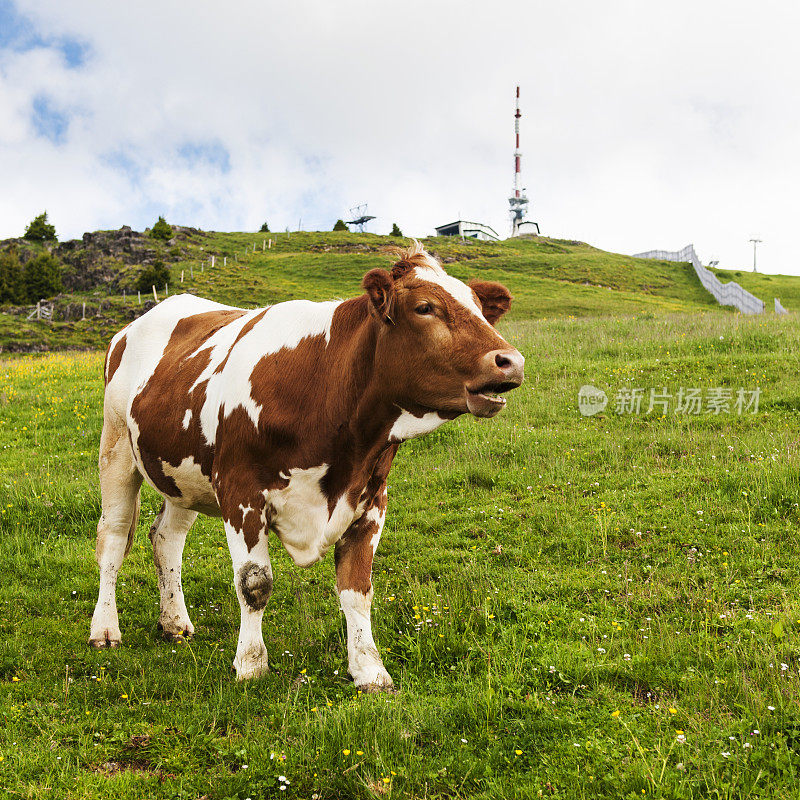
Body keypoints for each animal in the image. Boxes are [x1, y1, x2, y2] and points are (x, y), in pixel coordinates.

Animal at [90, 241, 520, 692]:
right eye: (424, 308)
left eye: (479, 307)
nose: (510, 360)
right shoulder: (241, 494)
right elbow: (254, 583)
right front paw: (251, 665)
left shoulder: (370, 500)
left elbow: (356, 589)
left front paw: (369, 670)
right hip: (116, 449)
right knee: (113, 537)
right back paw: (105, 629)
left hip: (180, 474)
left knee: (166, 538)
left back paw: (174, 621)